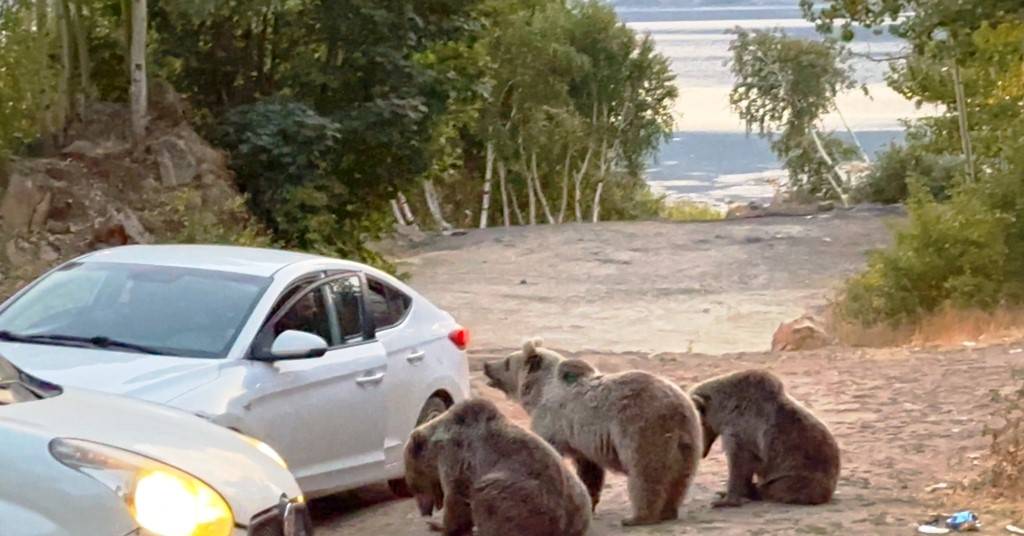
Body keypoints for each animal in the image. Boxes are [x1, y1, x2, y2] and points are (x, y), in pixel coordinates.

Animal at [401, 397, 589, 536]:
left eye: (413, 487)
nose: (424, 511)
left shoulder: (456, 458)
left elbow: (457, 501)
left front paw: (440, 525)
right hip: (577, 497)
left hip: (529, 500)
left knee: (488, 497)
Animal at [483, 340, 700, 528]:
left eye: (507, 361)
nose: (486, 365)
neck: (539, 392)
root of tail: (676, 407)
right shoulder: (583, 441)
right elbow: (590, 471)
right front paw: (590, 500)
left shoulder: (552, 422)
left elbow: (548, 451)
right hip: (687, 438)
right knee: (681, 477)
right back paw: (669, 511)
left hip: (642, 428)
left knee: (645, 474)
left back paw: (637, 517)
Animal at [688, 368, 839, 508]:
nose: (701, 453)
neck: (725, 411)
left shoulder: (740, 432)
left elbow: (738, 464)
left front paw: (726, 500)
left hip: (798, 475)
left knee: (779, 488)